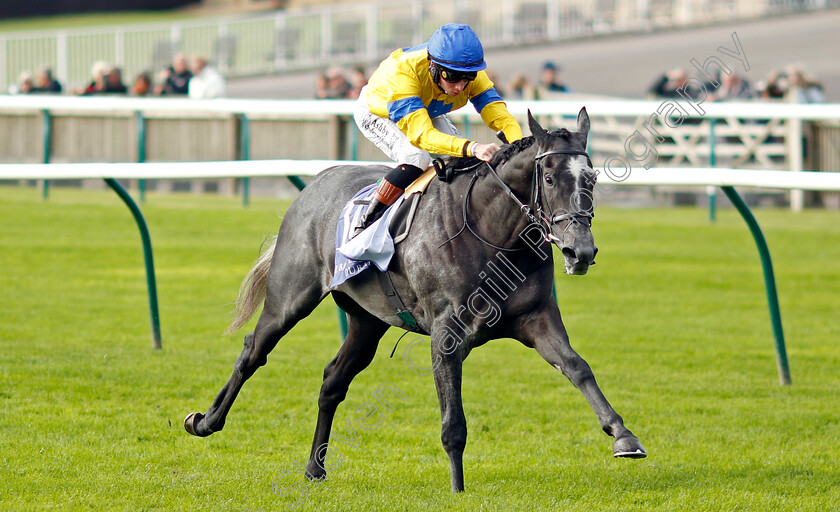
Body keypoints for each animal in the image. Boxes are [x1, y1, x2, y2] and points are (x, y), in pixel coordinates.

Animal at [184, 107, 644, 492]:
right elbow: (453, 420)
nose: (580, 251)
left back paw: (315, 467)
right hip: (290, 299)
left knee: (333, 381)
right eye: (548, 179)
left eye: (592, 178)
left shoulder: (537, 318)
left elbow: (577, 367)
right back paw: (205, 421)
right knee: (252, 352)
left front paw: (624, 436)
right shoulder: (447, 334)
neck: (492, 233)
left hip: (367, 321)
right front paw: (458, 490)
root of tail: (313, 185)